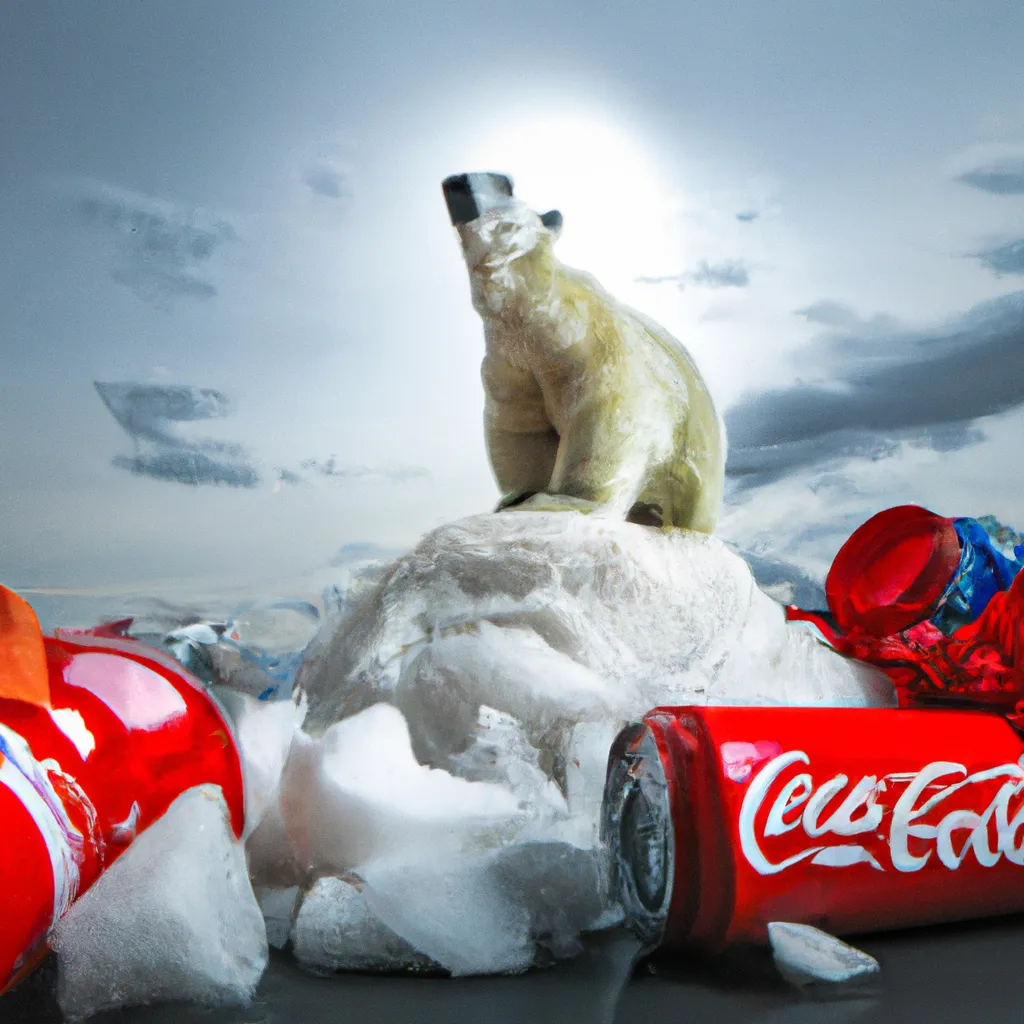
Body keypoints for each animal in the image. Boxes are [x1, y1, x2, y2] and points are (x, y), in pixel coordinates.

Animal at [444, 172, 724, 532]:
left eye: (505, 186)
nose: (459, 180)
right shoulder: (510, 366)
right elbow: (523, 430)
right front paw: (518, 495)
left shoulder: (598, 353)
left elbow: (604, 425)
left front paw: (558, 501)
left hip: (699, 460)